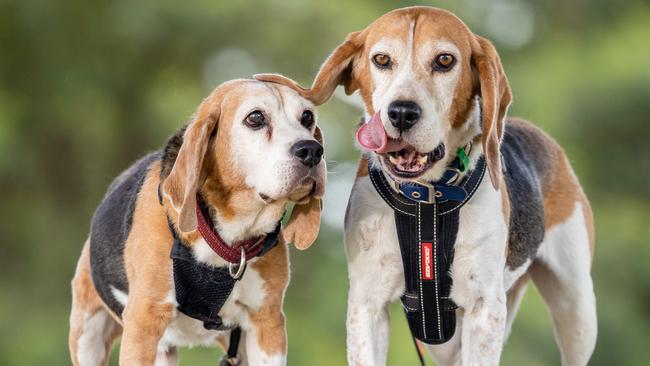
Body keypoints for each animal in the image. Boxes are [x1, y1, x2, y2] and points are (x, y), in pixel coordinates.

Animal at [67, 78, 324, 366]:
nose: (312, 150)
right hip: (88, 336)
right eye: (255, 117)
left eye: (307, 117)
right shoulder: (143, 324)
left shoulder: (268, 325)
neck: (228, 240)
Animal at [256, 5, 596, 366]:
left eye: (445, 60)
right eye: (381, 60)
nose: (402, 113)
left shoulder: (484, 309)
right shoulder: (367, 304)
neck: (425, 199)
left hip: (577, 309)